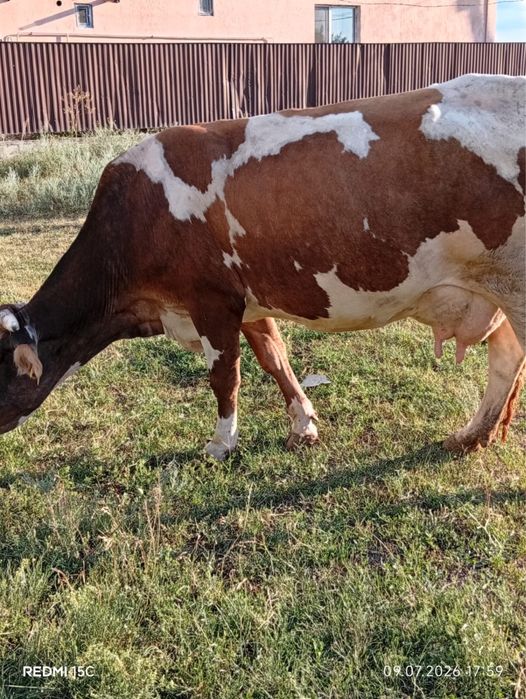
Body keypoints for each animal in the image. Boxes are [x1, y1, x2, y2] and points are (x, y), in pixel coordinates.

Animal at [0, 74, 524, 460]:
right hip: (492, 286)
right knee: (505, 358)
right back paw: (471, 437)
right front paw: (304, 426)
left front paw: (220, 444)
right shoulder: (248, 300)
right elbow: (276, 360)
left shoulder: (211, 300)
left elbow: (224, 376)